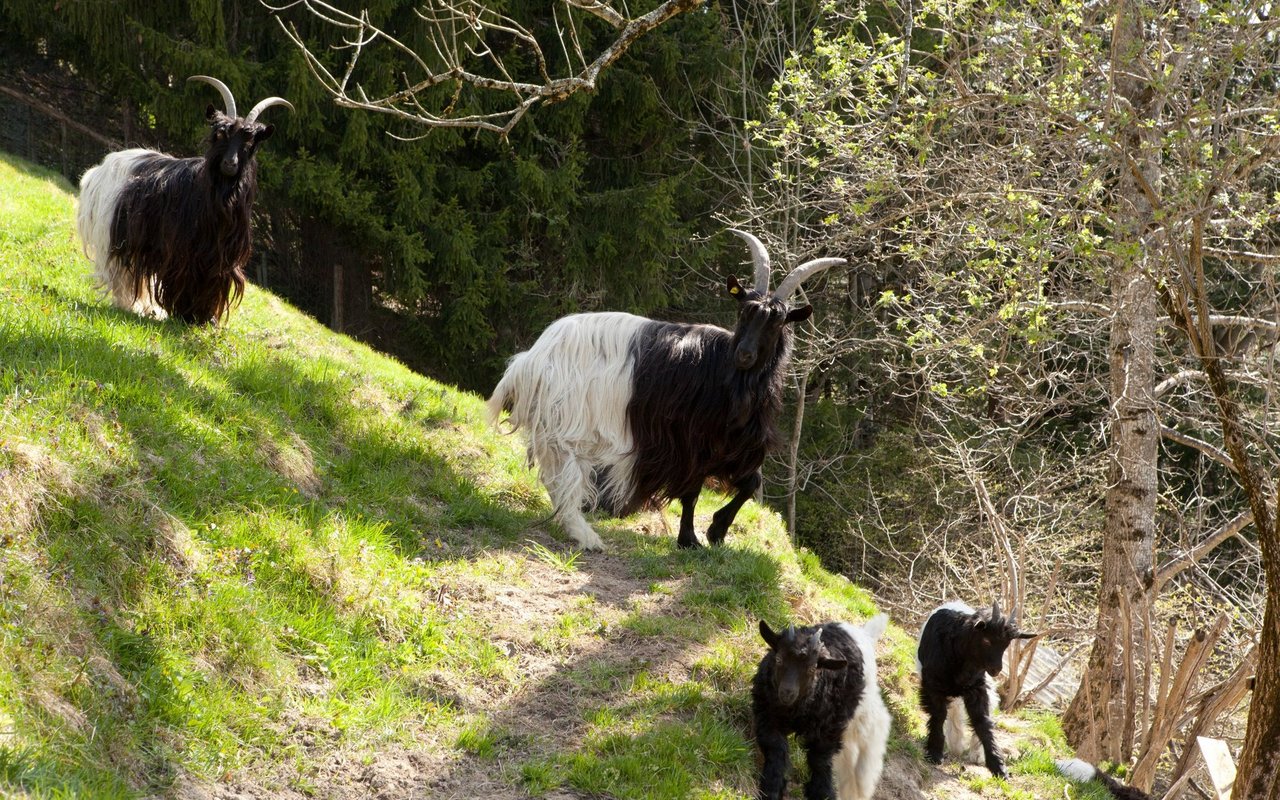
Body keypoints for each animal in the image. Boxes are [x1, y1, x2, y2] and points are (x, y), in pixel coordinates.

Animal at [76, 75, 293, 325]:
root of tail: (101, 168)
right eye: (219, 135)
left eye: (250, 143)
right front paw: (186, 314)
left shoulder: (220, 260)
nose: (230, 163)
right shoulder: (184, 254)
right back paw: (128, 305)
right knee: (120, 273)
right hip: (114, 235)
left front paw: (205, 318)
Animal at [486, 227, 839, 545]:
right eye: (743, 312)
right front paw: (691, 539)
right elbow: (694, 492)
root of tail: (531, 359)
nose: (745, 354)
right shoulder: (692, 442)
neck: (727, 372)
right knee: (562, 475)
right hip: (569, 423)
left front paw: (716, 531)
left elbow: (750, 482)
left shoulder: (731, 446)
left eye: (777, 323)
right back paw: (586, 536)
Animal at [747, 614, 890, 793]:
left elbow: (820, 761)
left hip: (863, 711)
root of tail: (863, 633)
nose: (787, 692)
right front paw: (771, 789)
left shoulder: (828, 730)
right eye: (778, 659)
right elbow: (776, 748)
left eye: (812, 668)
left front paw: (824, 792)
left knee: (874, 736)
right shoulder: (766, 715)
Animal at [916, 601, 1034, 778]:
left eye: (1006, 645)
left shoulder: (977, 689)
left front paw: (998, 766)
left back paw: (972, 752)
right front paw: (934, 752)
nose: (996, 670)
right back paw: (955, 743)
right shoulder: (932, 684)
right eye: (986, 640)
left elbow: (982, 722)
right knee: (953, 712)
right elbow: (939, 714)